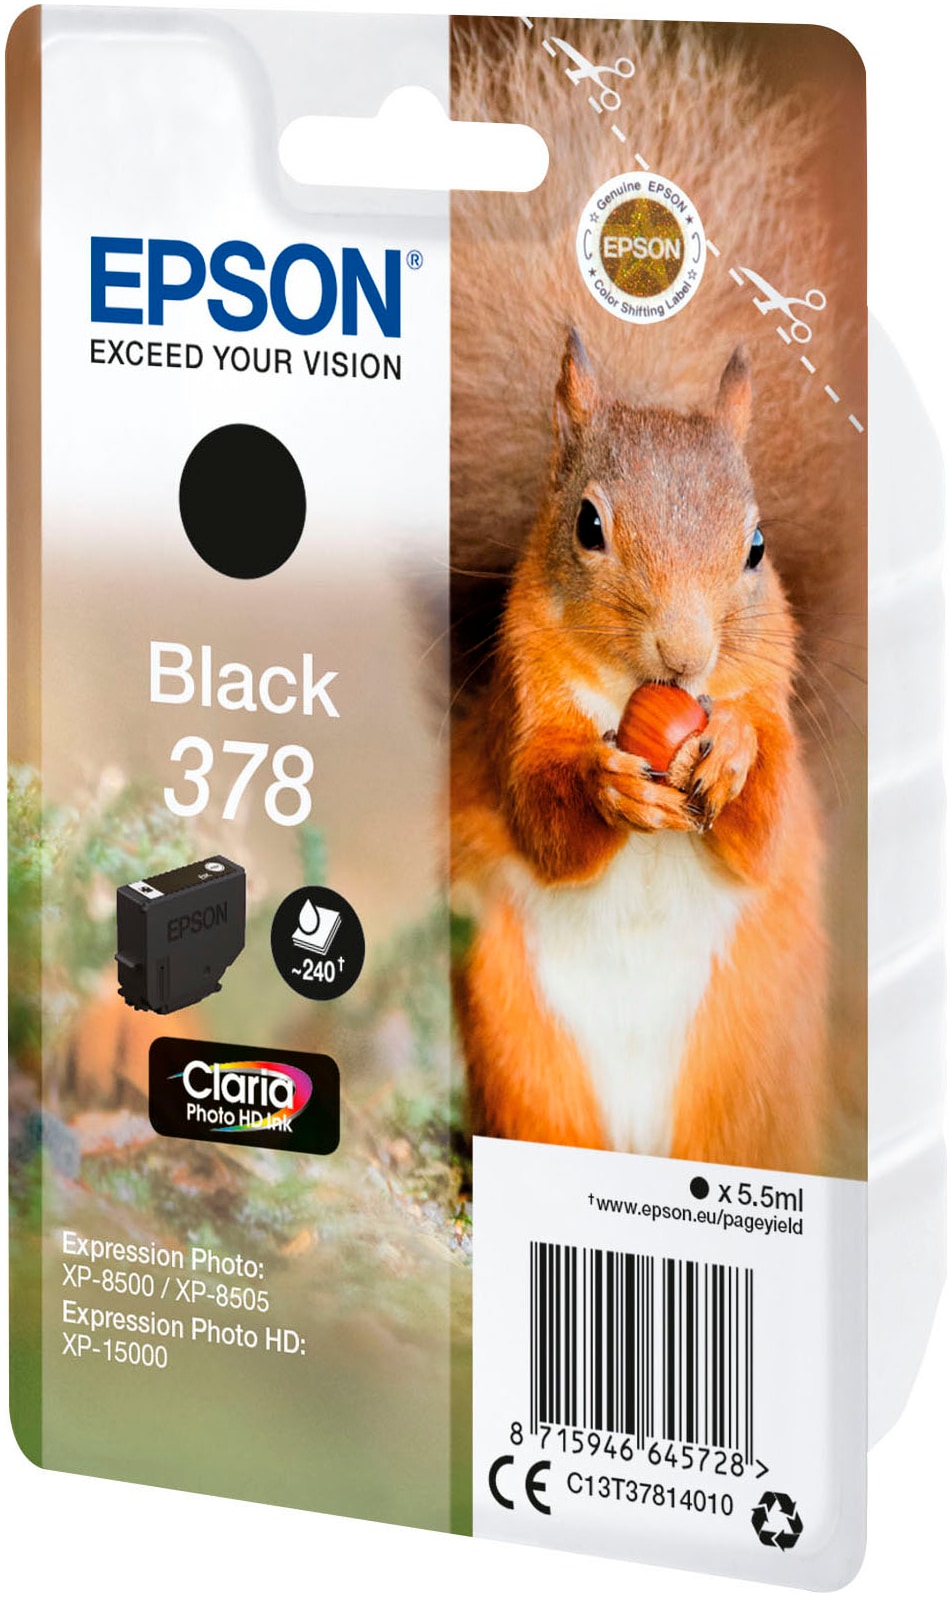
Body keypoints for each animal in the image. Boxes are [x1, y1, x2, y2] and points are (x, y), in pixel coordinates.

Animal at [448, 19, 866, 1174]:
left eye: (757, 547)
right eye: (588, 525)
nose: (684, 657)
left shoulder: (771, 695)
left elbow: (763, 820)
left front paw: (730, 754)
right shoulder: (519, 707)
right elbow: (540, 813)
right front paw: (605, 787)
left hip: (745, 1070)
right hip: (523, 1045)